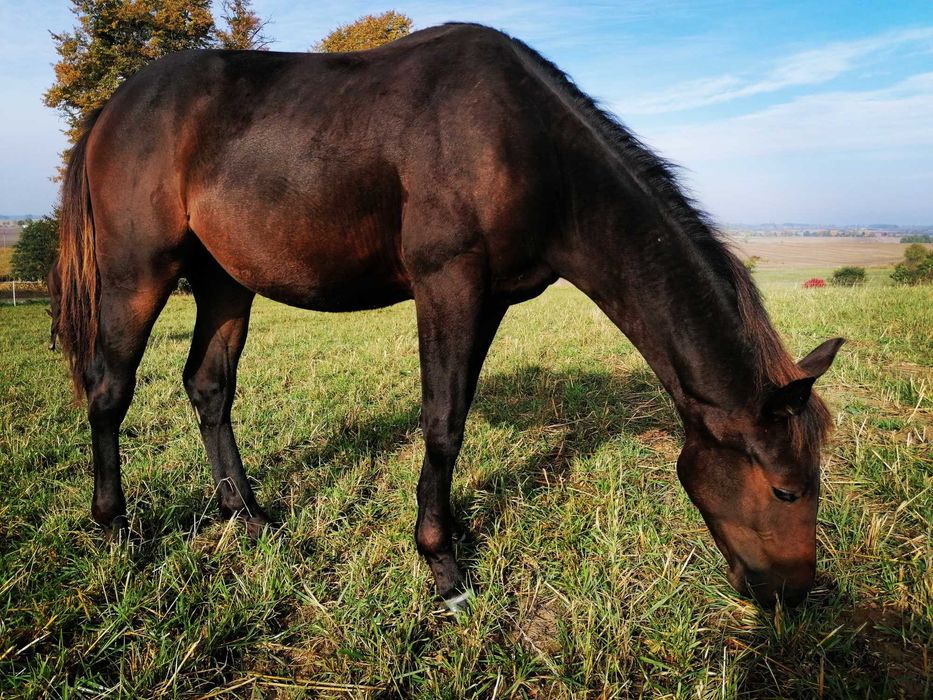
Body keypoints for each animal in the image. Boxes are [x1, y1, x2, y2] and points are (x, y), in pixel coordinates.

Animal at [58, 24, 844, 608]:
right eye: (785, 488)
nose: (792, 595)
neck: (527, 143)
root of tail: (113, 108)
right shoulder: (447, 284)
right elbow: (442, 421)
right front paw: (441, 566)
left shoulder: (489, 298)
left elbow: (457, 413)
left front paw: (452, 532)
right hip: (138, 273)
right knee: (110, 390)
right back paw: (117, 530)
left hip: (224, 282)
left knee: (208, 386)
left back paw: (246, 516)